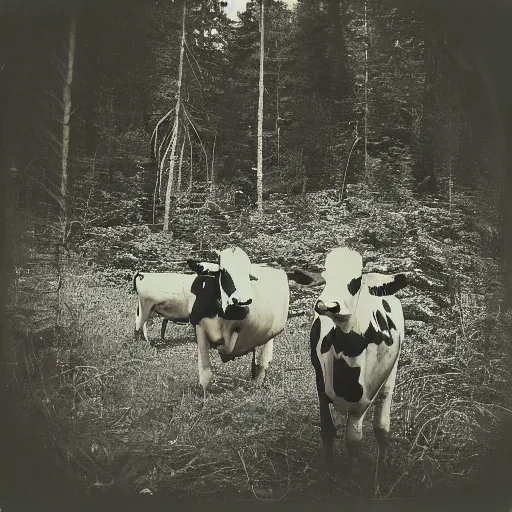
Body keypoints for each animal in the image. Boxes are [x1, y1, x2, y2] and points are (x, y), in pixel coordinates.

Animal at [186, 246, 290, 394]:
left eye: (248, 275)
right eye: (223, 273)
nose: (242, 301)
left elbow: (228, 348)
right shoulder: (198, 325)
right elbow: (205, 371)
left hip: (271, 332)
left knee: (264, 359)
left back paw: (257, 379)